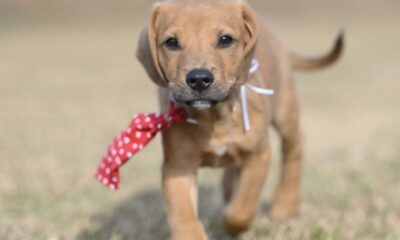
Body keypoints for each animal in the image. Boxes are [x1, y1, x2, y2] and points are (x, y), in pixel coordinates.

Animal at [136, 0, 342, 239]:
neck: (214, 117)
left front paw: (231, 223)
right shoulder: (178, 167)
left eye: (225, 39)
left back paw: (285, 206)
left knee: (294, 149)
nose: (199, 79)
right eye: (171, 42)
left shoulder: (258, 155)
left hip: (286, 110)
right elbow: (184, 214)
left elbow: (242, 207)